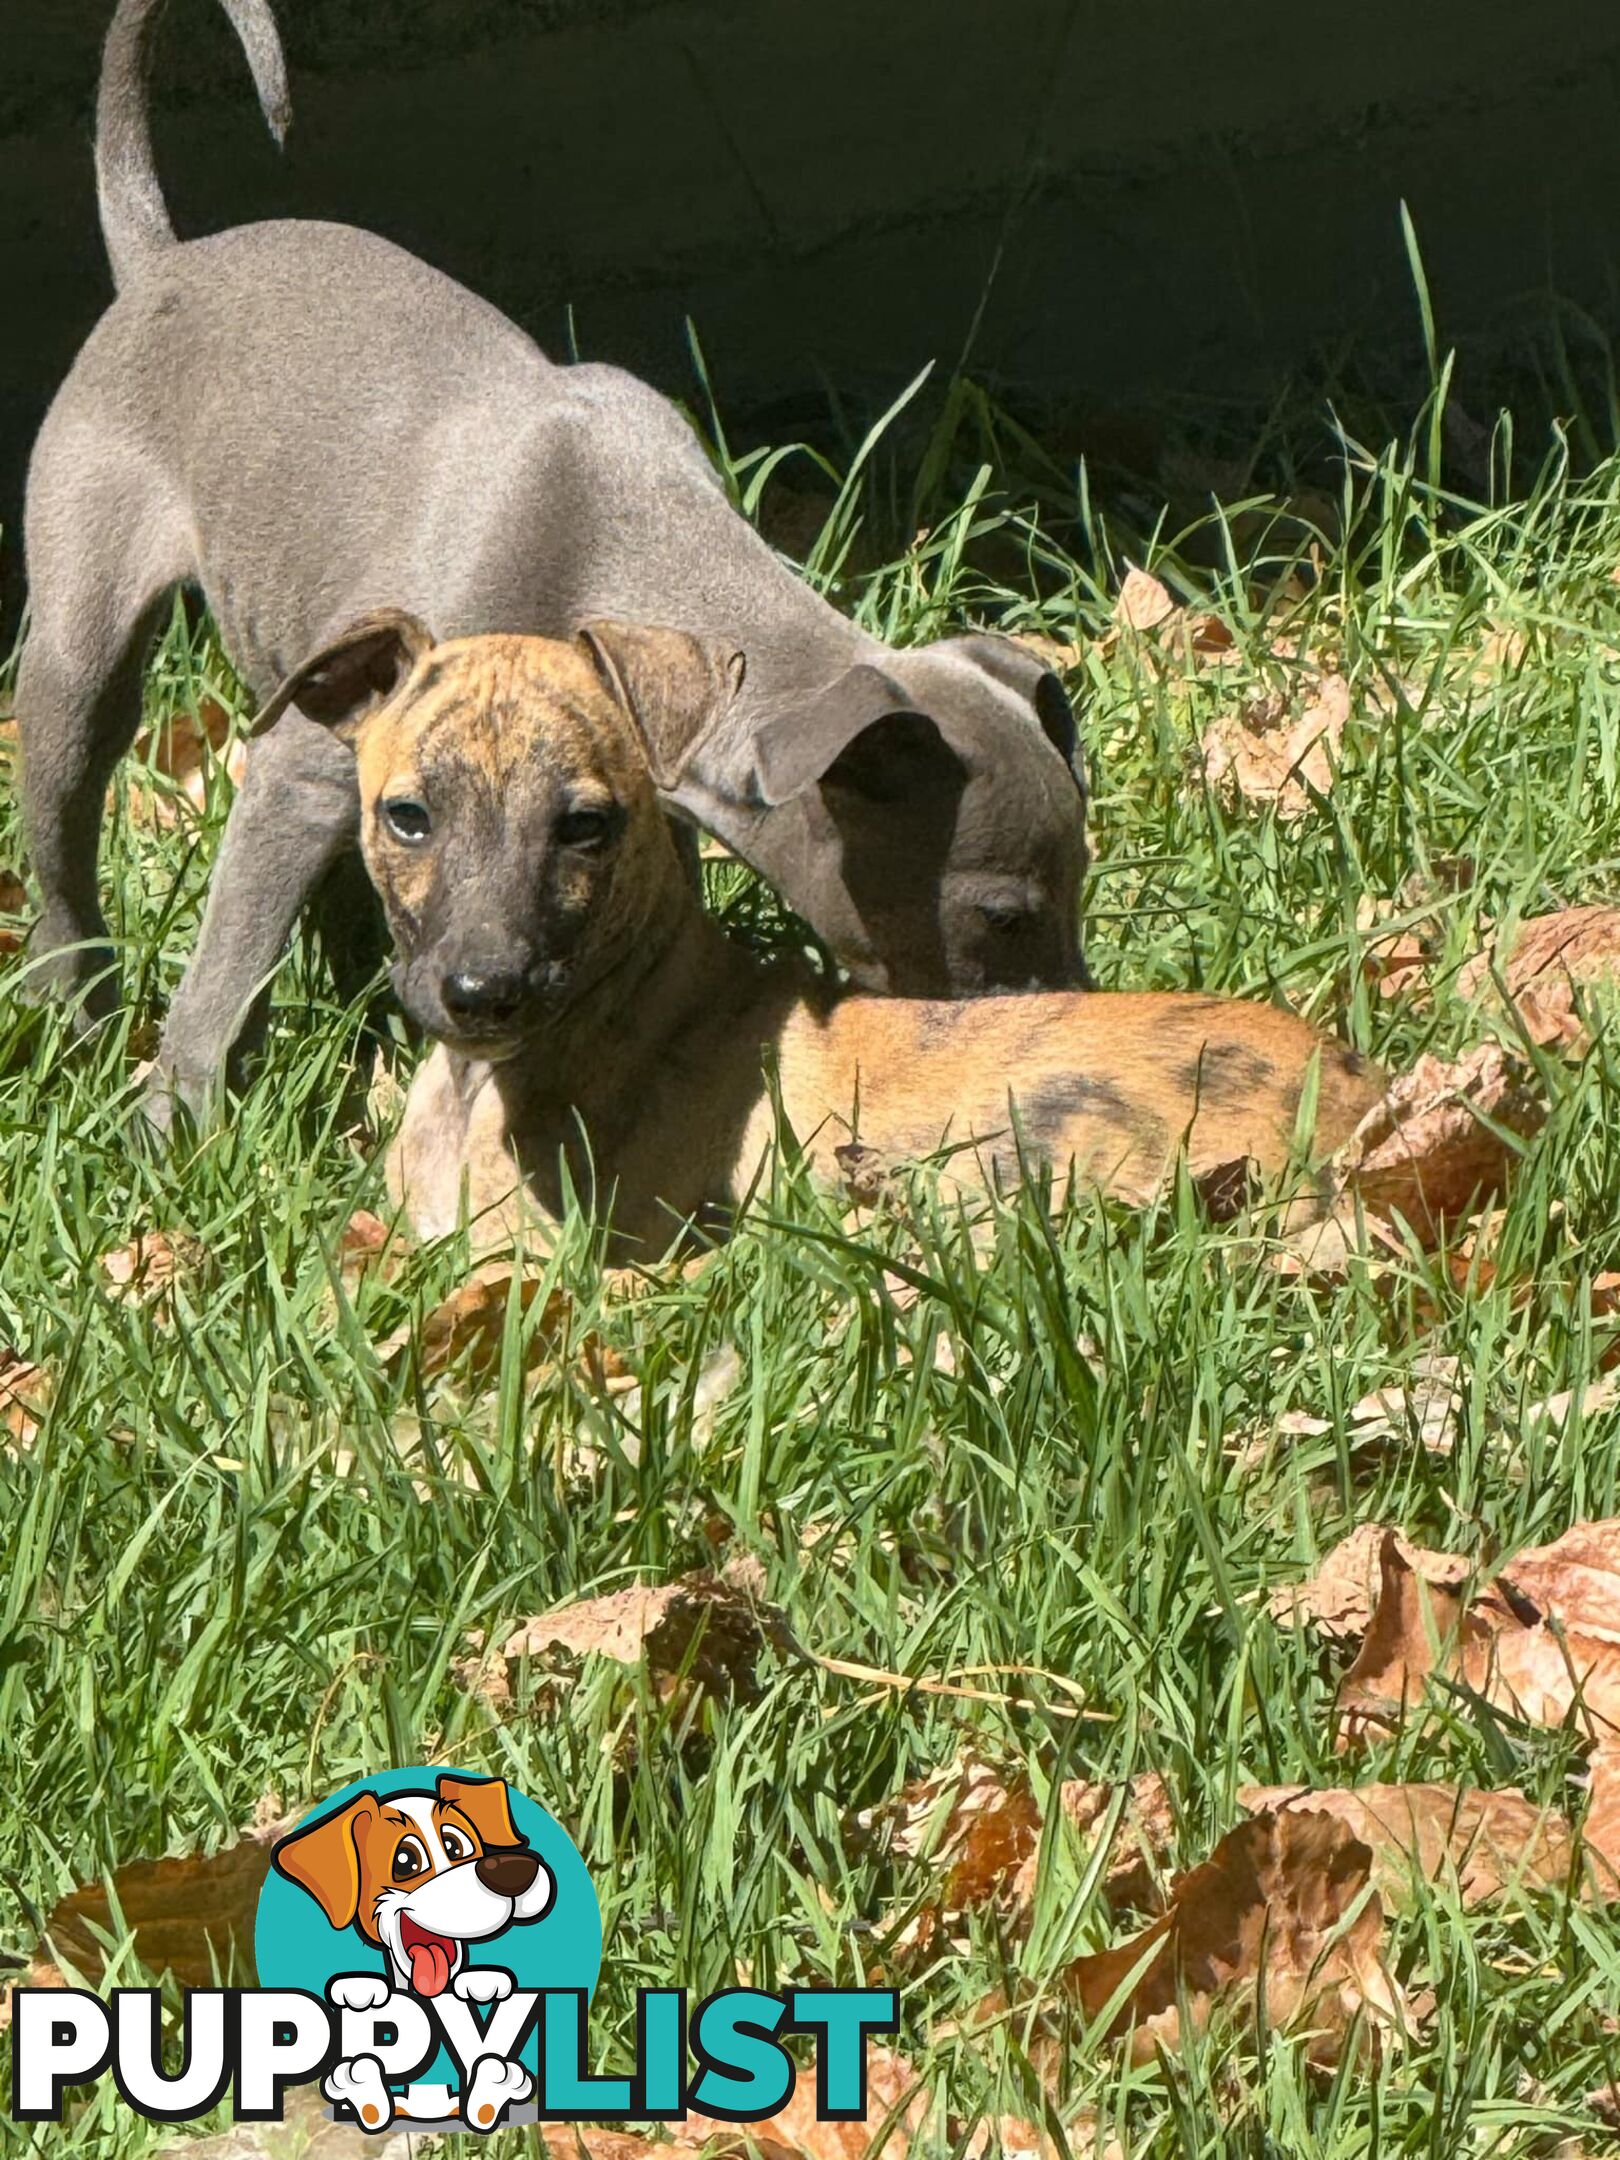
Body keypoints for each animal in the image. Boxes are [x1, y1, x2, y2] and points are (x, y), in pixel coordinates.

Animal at [15, 0, 1092, 1114]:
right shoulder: (300, 768)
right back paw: (75, 1015)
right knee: (67, 841)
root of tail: (160, 262)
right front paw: (180, 1117)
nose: (1074, 1020)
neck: (625, 542)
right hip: (81, 653)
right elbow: (226, 973)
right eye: (1004, 913)